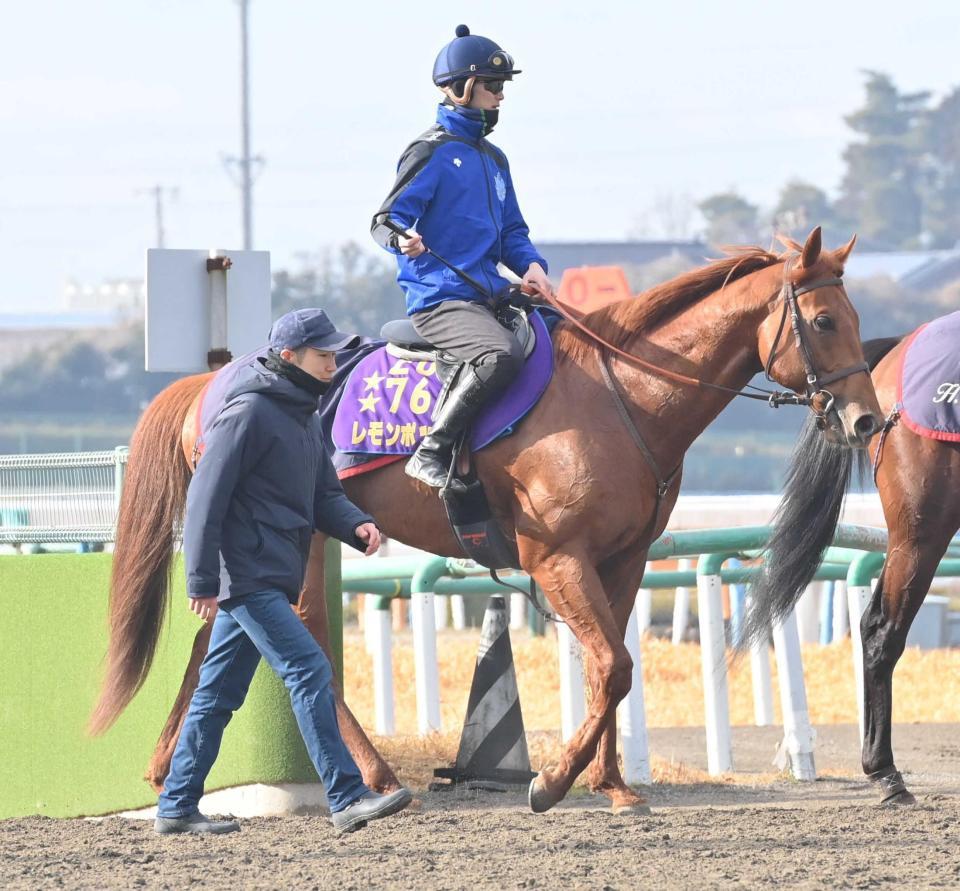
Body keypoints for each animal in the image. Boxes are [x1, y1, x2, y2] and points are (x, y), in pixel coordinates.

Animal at [90, 230, 876, 816]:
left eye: (859, 321)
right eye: (825, 321)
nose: (867, 420)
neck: (622, 395)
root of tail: (212, 380)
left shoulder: (623, 560)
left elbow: (614, 667)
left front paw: (614, 785)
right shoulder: (557, 558)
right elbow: (612, 664)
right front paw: (550, 782)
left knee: (222, 631)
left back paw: (166, 770)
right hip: (301, 534)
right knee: (302, 633)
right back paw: (377, 777)